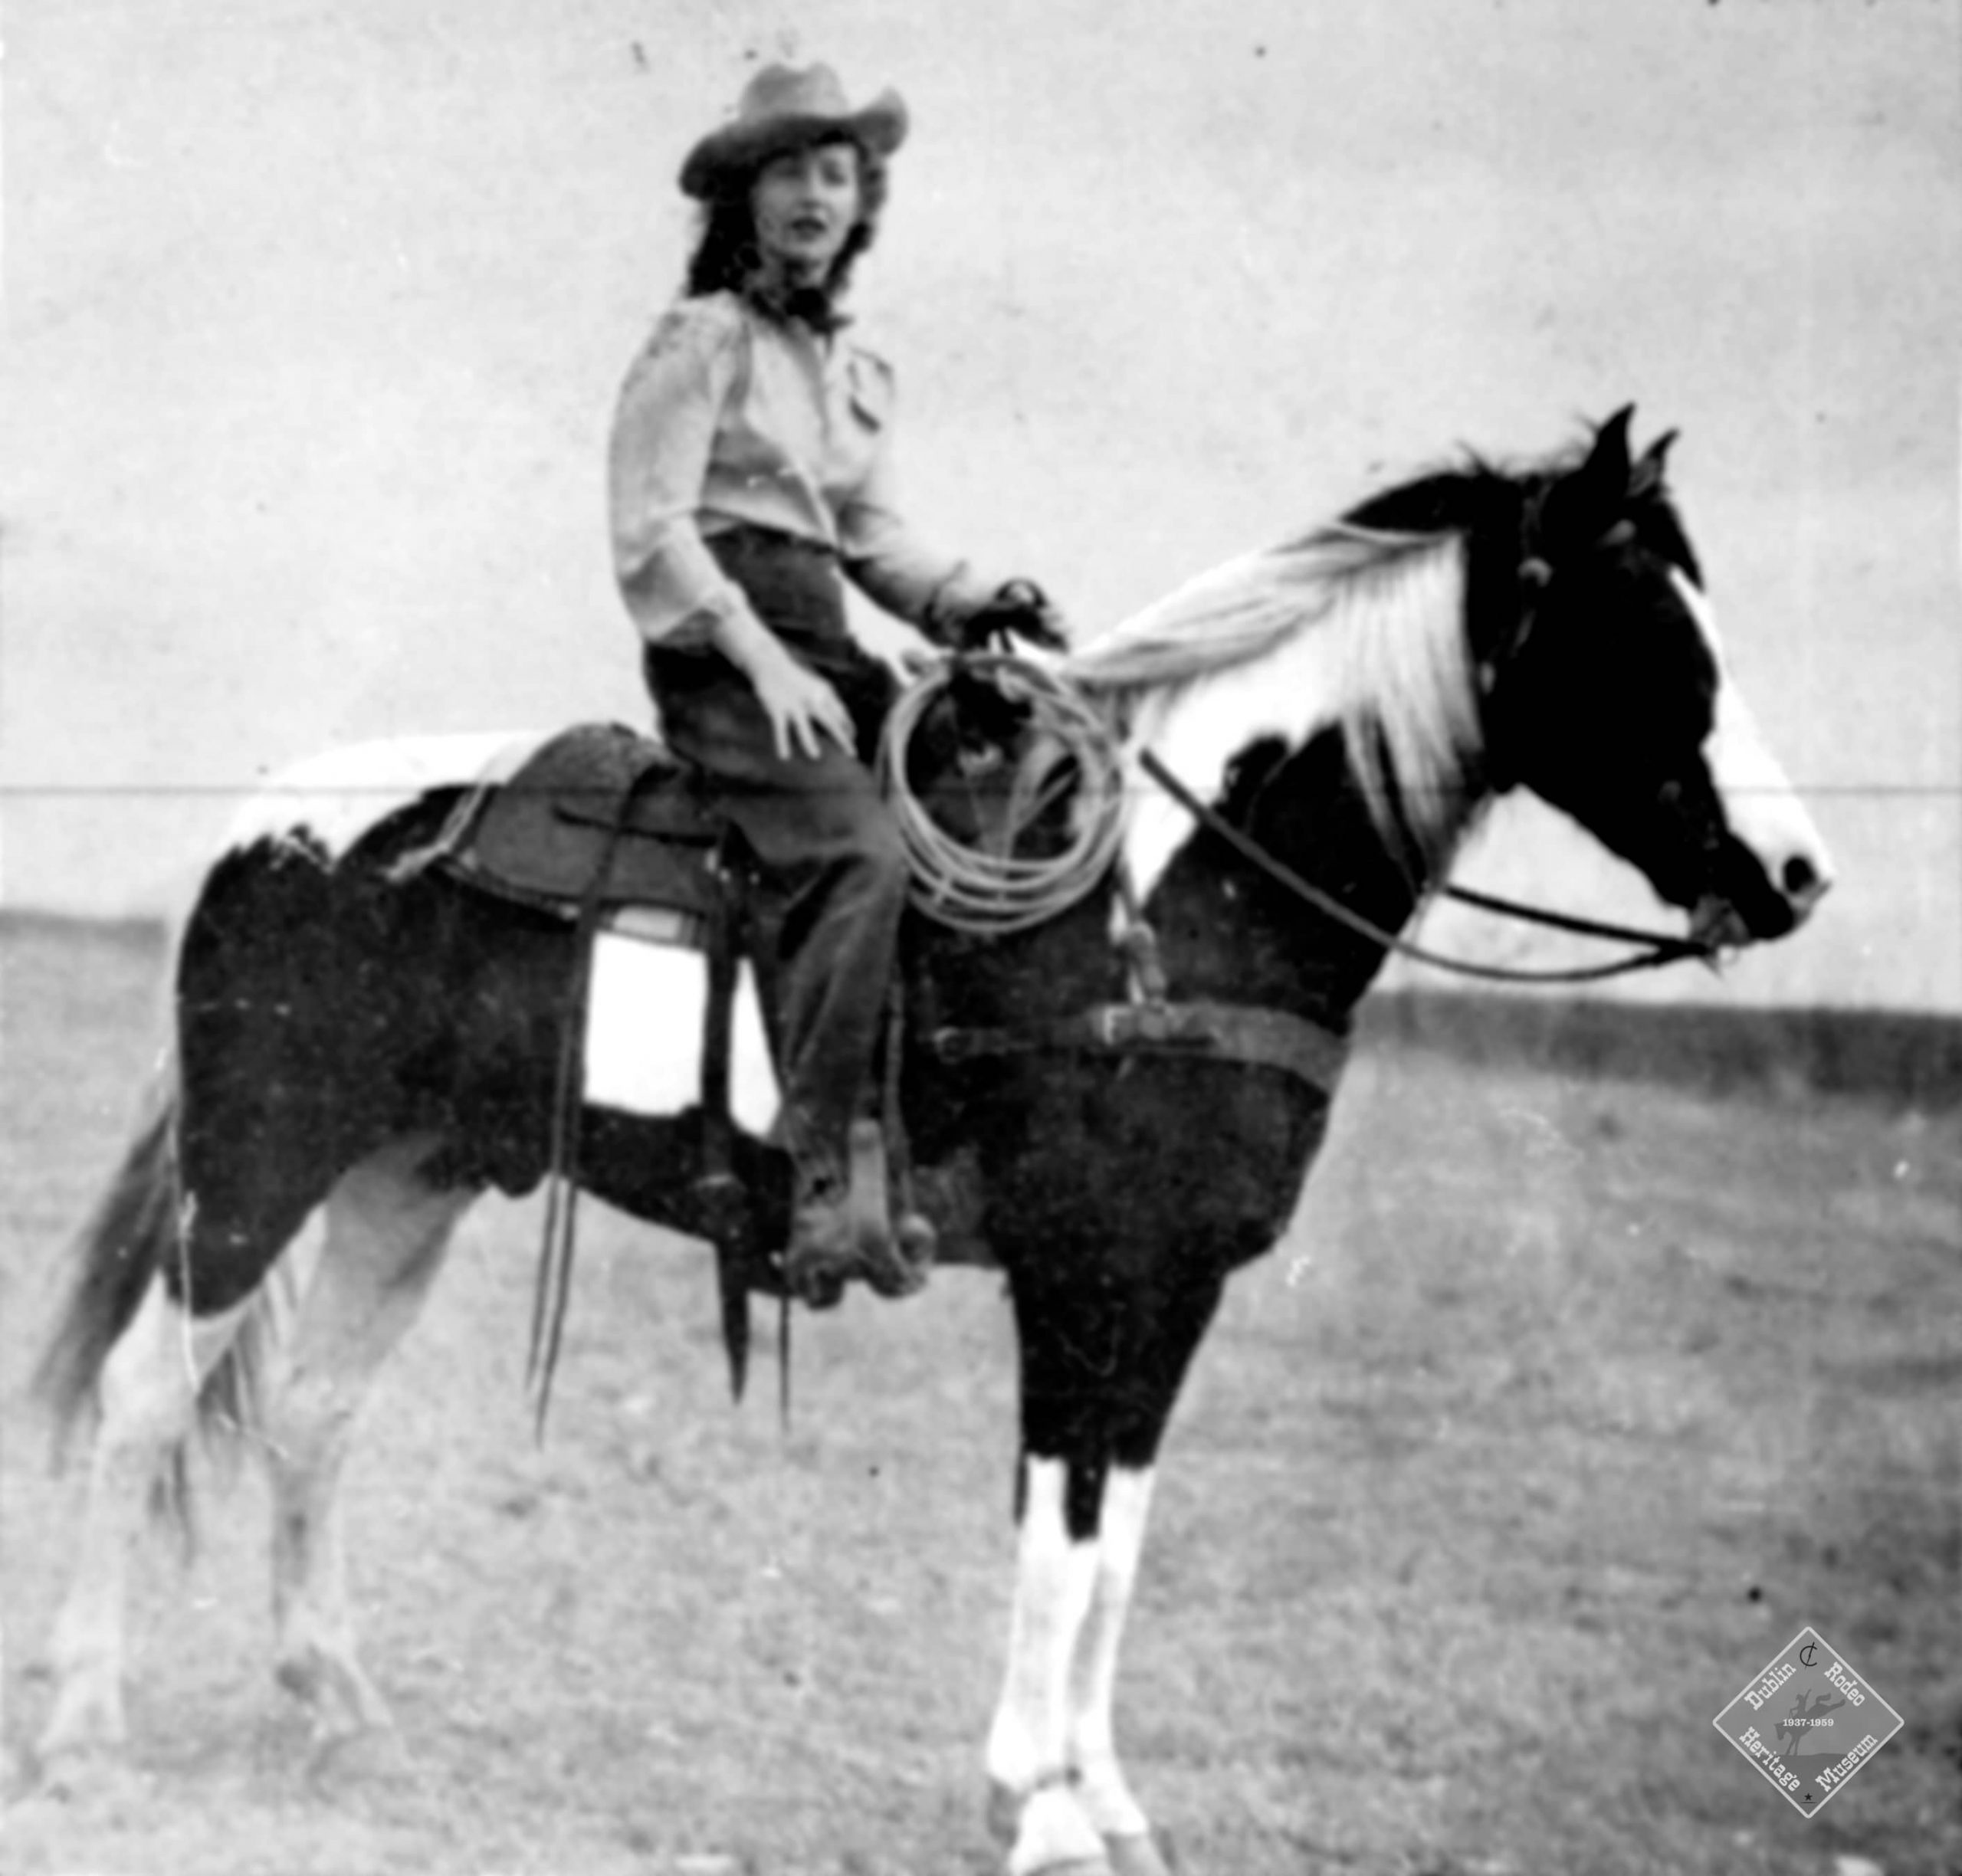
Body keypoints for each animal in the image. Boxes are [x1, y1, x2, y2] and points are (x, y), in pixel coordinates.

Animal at [28, 409, 1831, 1876]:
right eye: (1642, 635)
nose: (1797, 874)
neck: (1154, 905)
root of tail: (264, 822)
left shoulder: (1171, 1288)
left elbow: (1119, 1544)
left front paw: (1105, 1799)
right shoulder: (1086, 1275)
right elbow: (1061, 1538)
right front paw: (1035, 1809)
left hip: (408, 1177)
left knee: (314, 1418)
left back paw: (339, 1708)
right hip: (260, 1161)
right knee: (143, 1399)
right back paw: (83, 1721)